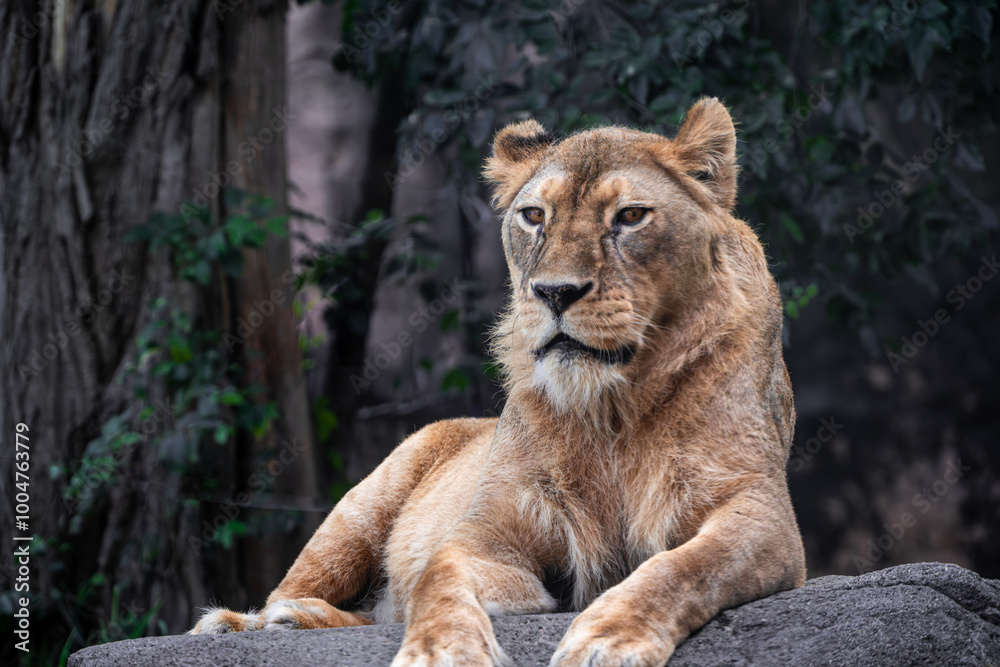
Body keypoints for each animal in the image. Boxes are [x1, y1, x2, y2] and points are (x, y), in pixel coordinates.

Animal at [191, 97, 806, 667]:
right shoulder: (485, 538)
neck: (611, 407)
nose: (555, 292)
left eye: (631, 216)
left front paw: (609, 639)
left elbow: (681, 568)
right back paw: (249, 621)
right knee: (301, 590)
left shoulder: (760, 513)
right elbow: (438, 582)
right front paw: (440, 653)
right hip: (360, 508)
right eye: (533, 215)